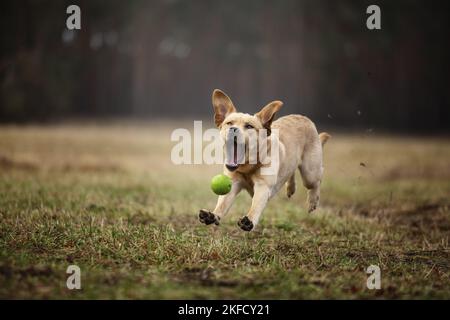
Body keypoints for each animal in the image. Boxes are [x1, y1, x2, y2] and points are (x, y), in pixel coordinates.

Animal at [199, 89, 328, 231]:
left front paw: (249, 220)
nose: (233, 129)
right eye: (229, 123)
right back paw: (291, 187)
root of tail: (305, 118)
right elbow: (223, 203)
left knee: (317, 180)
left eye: (249, 126)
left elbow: (256, 206)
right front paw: (213, 215)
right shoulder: (233, 182)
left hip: (309, 173)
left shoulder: (263, 187)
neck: (248, 167)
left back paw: (313, 201)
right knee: (292, 170)